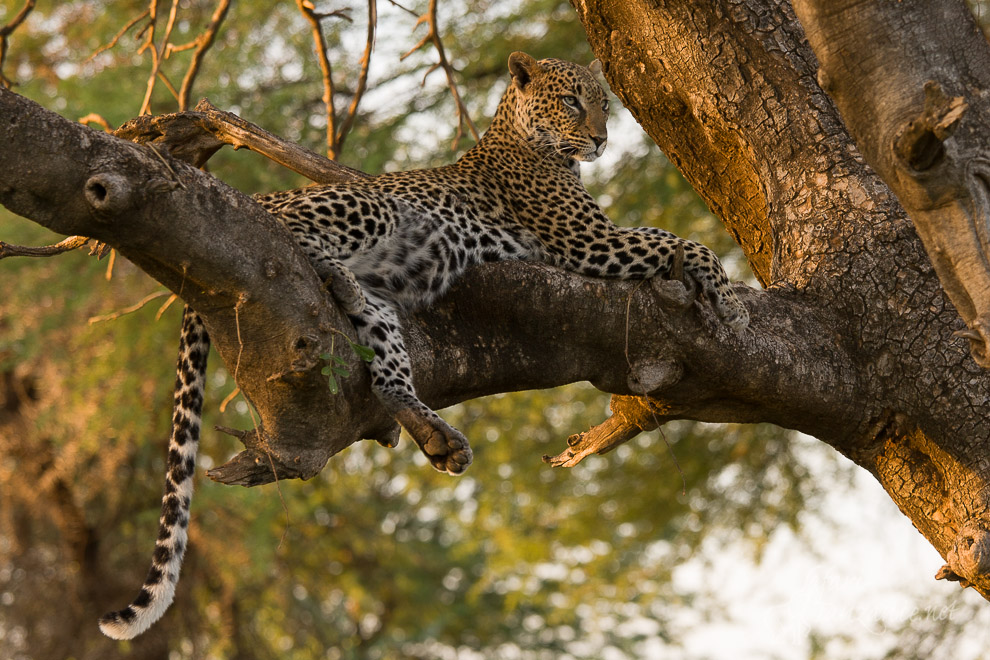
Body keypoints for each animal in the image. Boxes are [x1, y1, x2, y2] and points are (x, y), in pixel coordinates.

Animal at [101, 51, 752, 640]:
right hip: (374, 205)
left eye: (605, 103)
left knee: (388, 372)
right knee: (292, 237)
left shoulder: (594, 238)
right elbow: (681, 240)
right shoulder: (588, 240)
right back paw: (333, 272)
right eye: (572, 102)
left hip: (385, 311)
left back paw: (430, 424)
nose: (600, 138)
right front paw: (735, 305)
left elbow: (676, 240)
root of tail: (260, 197)